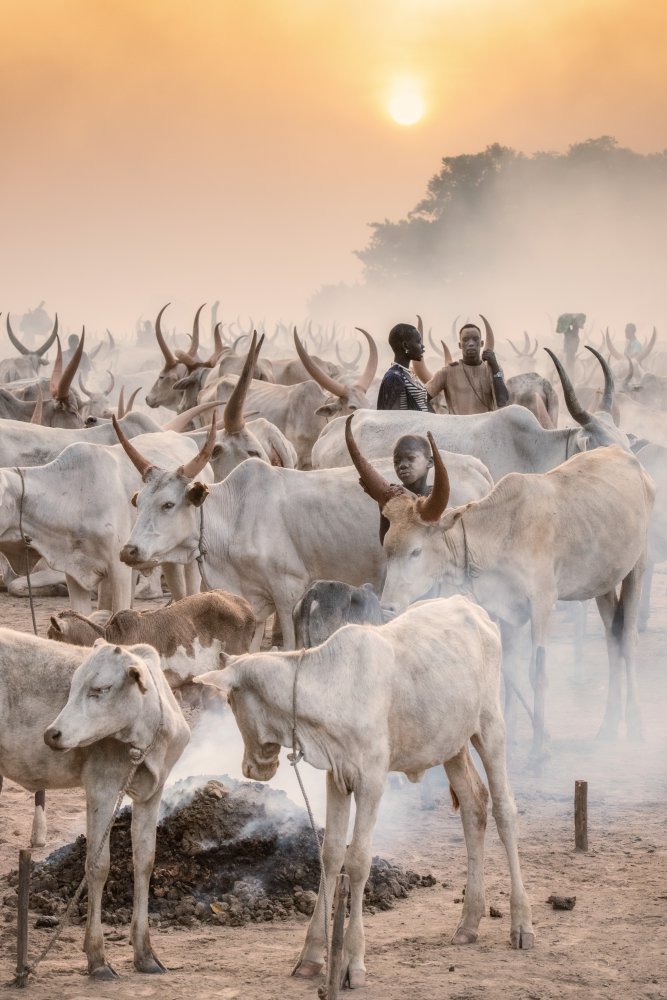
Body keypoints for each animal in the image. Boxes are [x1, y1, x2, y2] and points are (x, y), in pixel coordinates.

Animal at [196, 596, 536, 988]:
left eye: (231, 702)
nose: (251, 768)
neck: (327, 688)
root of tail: (469, 606)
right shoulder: (338, 778)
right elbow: (330, 855)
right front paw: (312, 956)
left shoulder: (372, 781)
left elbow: (358, 861)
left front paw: (352, 962)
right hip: (451, 743)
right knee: (474, 806)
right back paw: (468, 923)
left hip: (490, 726)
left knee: (504, 811)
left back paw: (522, 924)